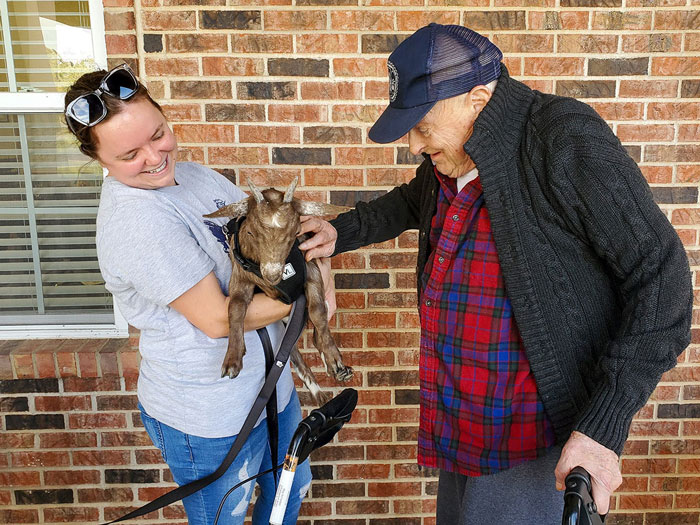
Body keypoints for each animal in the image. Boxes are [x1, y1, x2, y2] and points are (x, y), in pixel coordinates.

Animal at [205, 176, 352, 402]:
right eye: (250, 232)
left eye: (295, 232)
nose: (272, 274)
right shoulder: (240, 276)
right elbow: (235, 307)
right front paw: (232, 359)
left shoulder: (311, 268)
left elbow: (318, 311)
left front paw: (334, 358)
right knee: (290, 351)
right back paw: (318, 393)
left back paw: (337, 374)